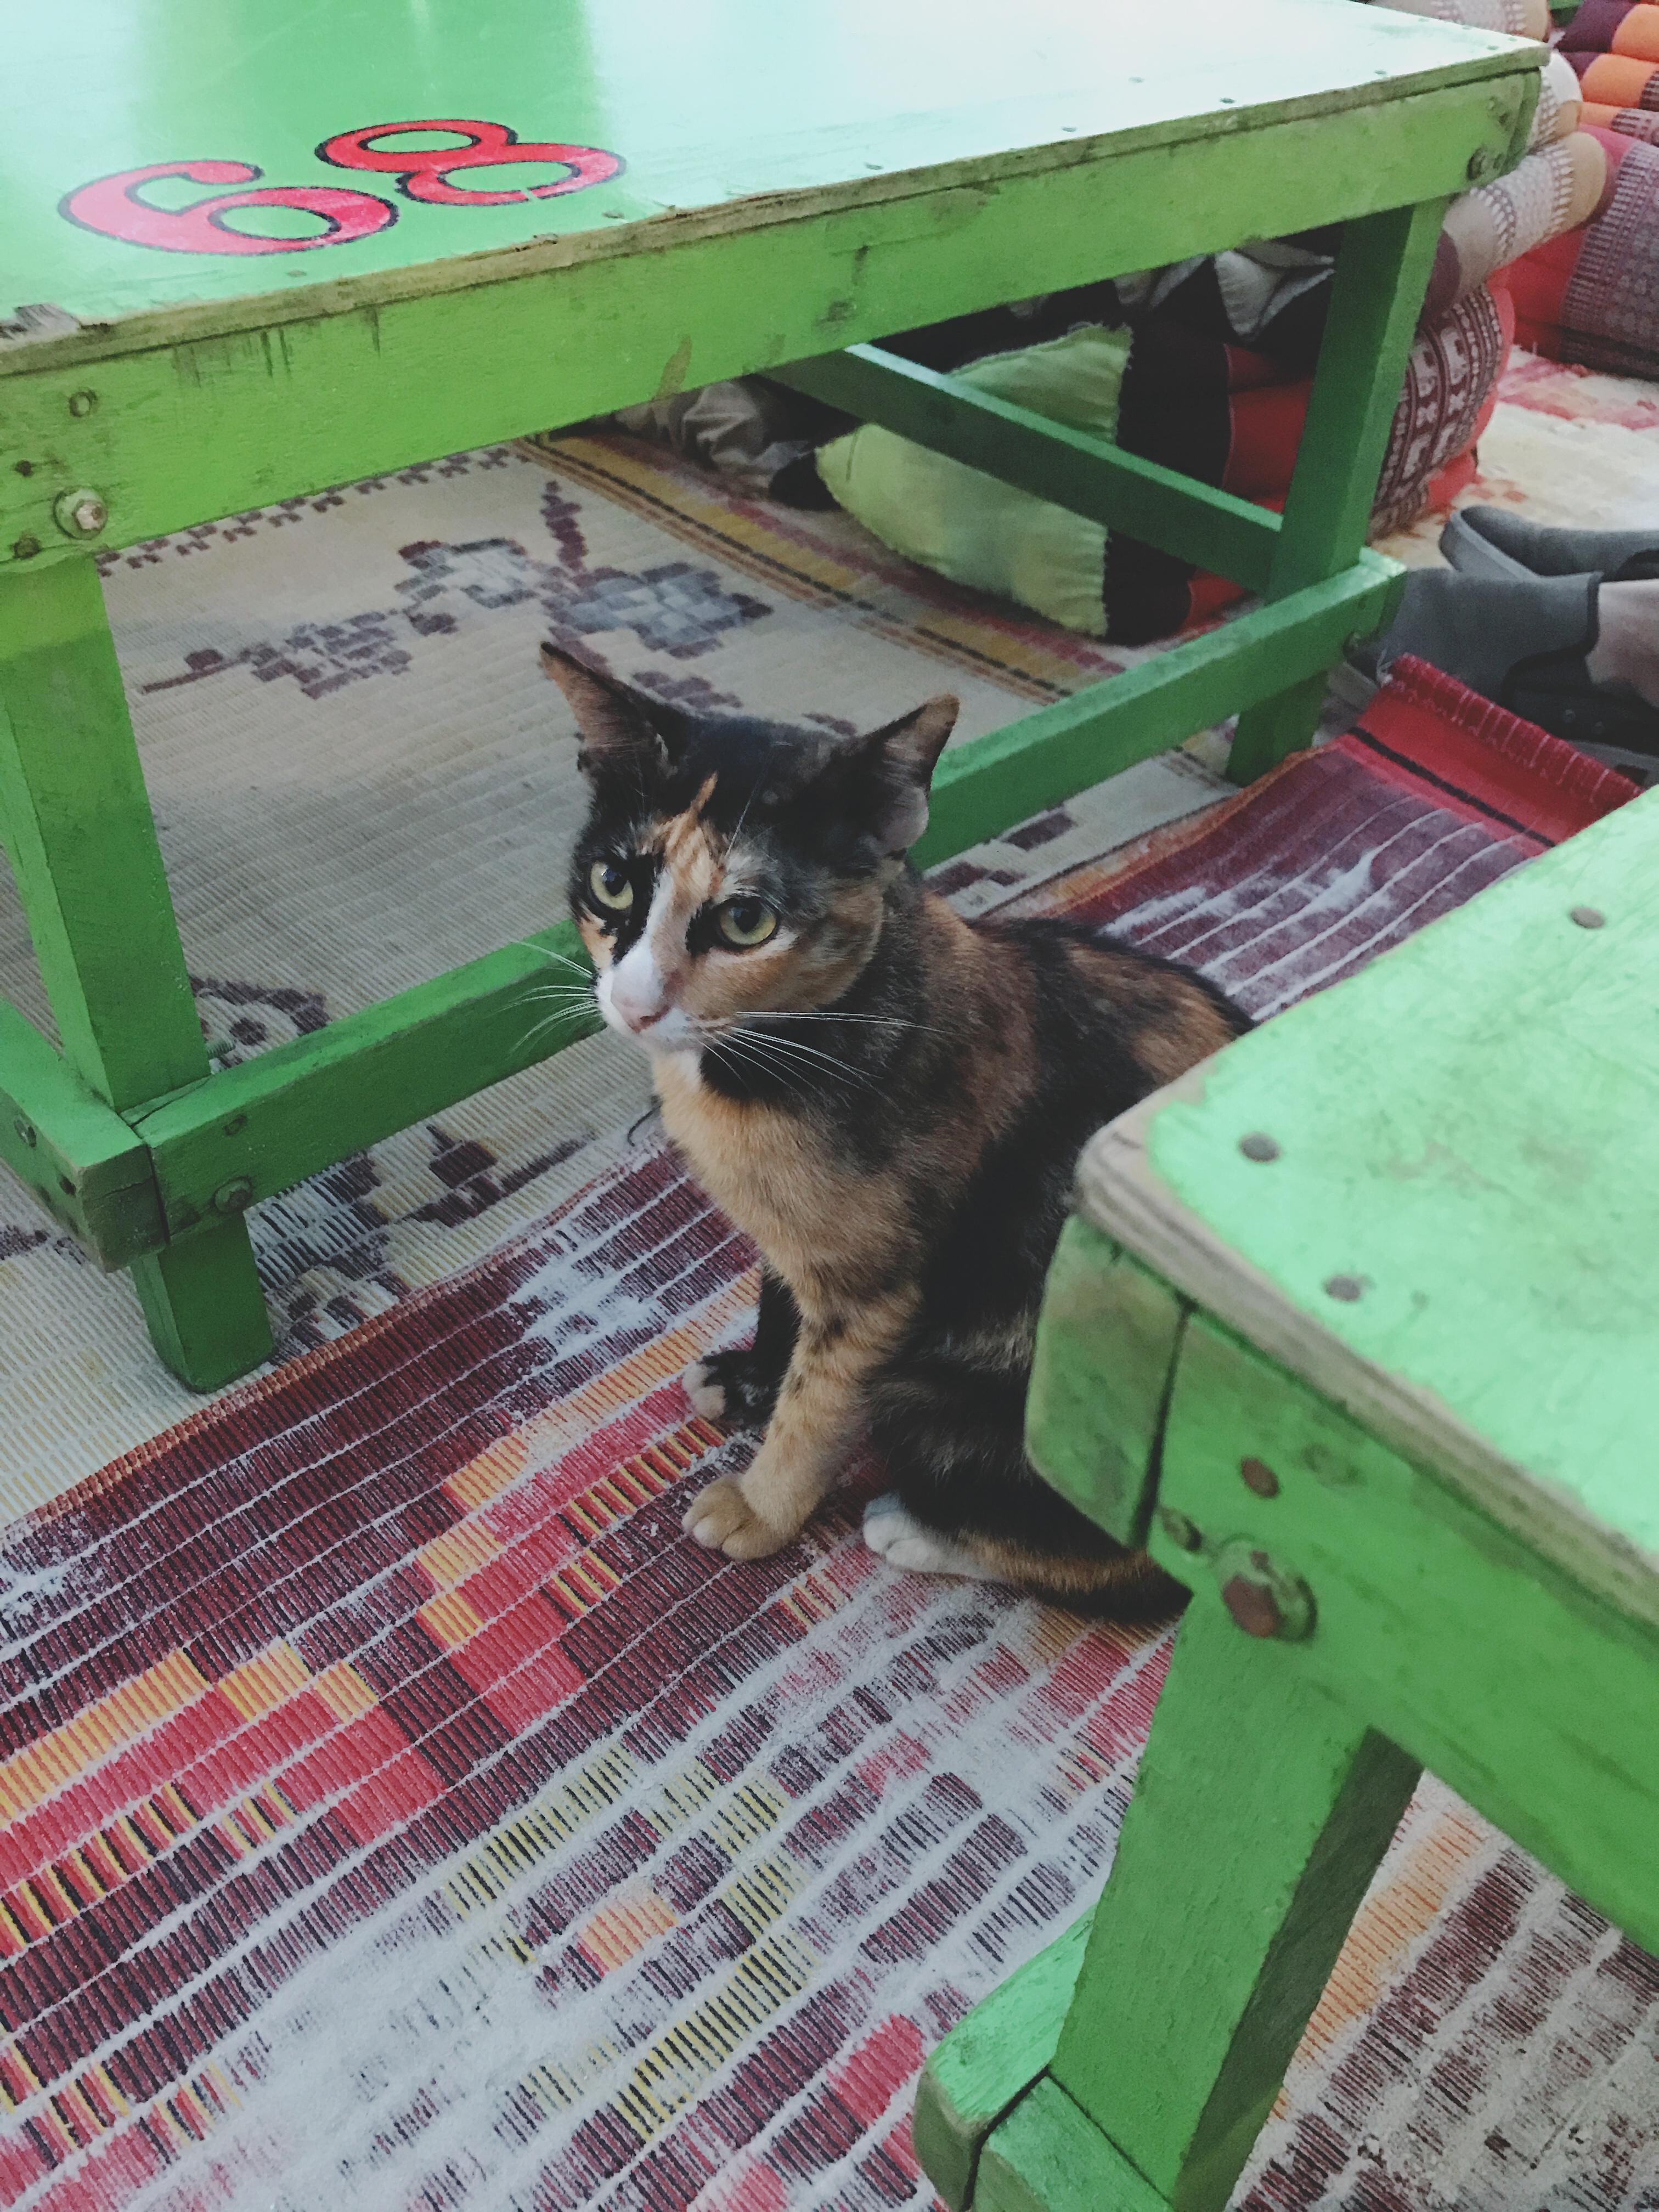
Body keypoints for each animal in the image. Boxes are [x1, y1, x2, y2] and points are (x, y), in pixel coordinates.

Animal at [542, 644, 1249, 1613]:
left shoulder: (879, 1289)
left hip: (977, 1396)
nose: (636, 1003)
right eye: (613, 881)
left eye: (746, 919)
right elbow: (778, 1301)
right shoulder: (800, 1245)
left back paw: (917, 1530)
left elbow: (821, 1400)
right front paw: (752, 1376)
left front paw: (761, 1506)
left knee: (1126, 1577)